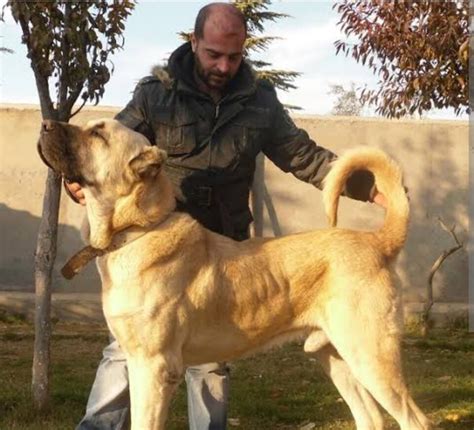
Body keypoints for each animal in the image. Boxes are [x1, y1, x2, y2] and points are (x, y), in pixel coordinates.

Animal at [37, 118, 430, 430]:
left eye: (98, 133)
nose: (45, 123)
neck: (137, 230)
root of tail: (377, 240)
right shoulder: (137, 362)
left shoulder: (154, 367)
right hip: (336, 358)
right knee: (372, 418)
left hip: (371, 356)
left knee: (416, 420)